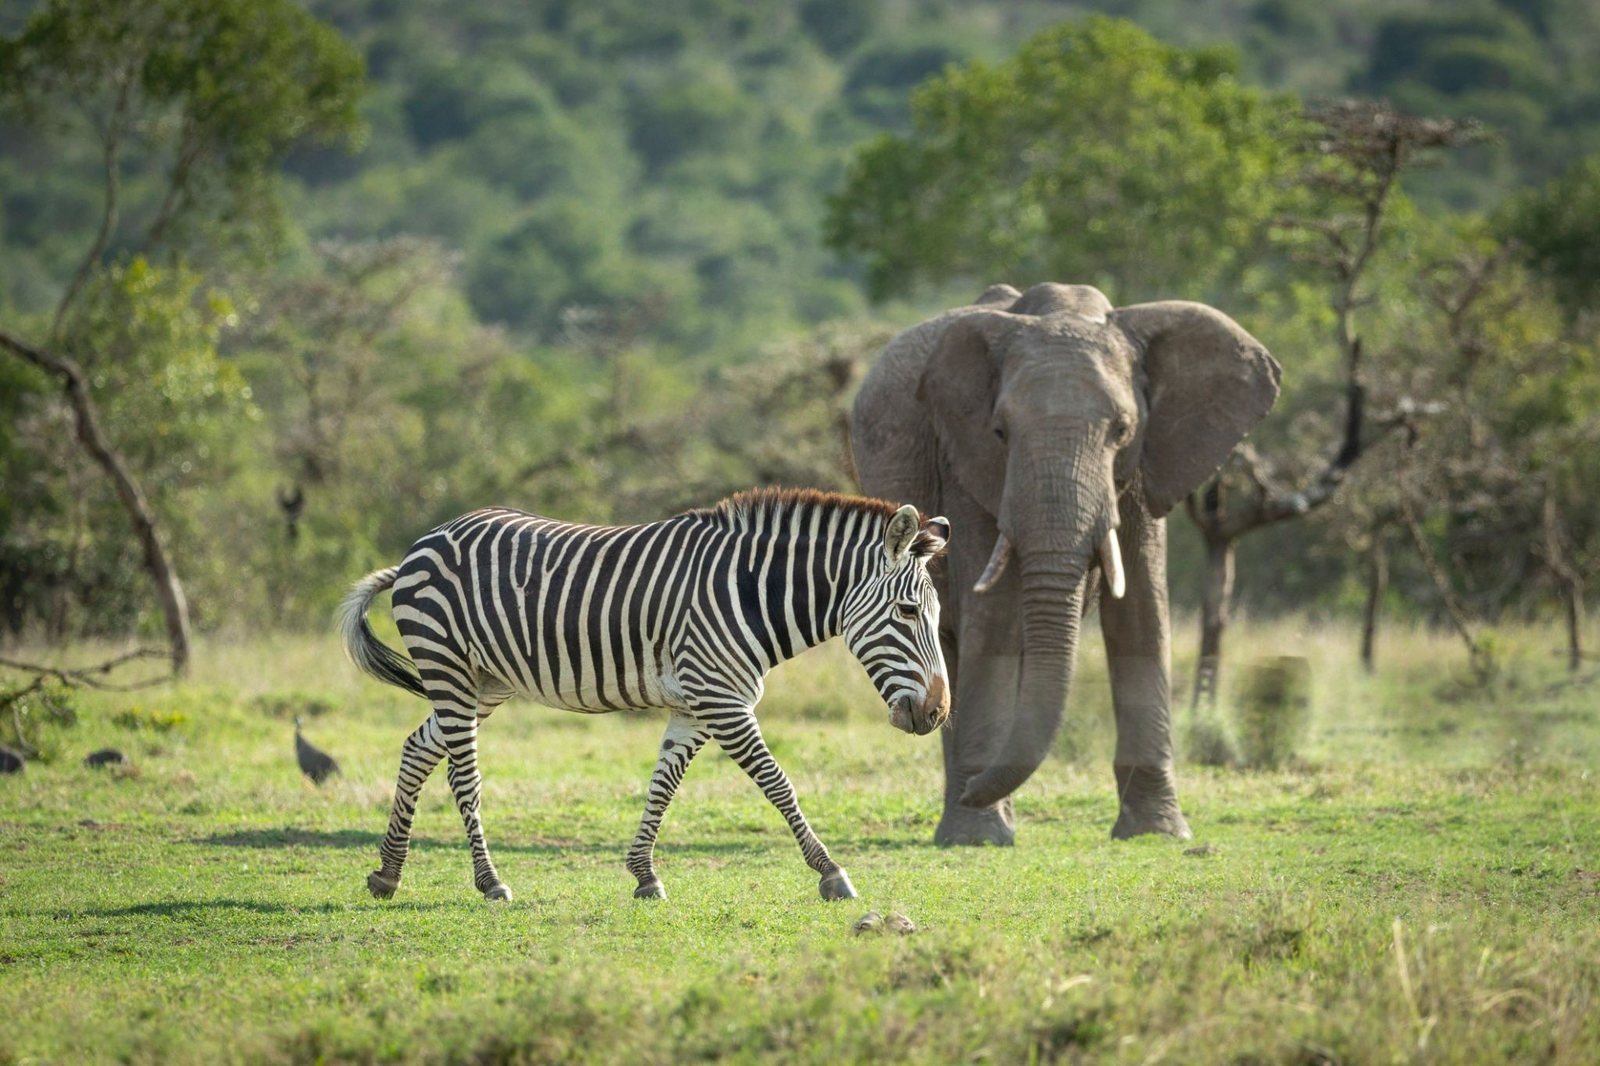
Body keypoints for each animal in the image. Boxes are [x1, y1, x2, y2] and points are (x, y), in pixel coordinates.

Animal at [339, 488, 952, 903]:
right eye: (908, 612)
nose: (938, 712)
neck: (752, 595)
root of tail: (424, 542)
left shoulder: (694, 707)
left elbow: (664, 786)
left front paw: (644, 873)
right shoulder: (722, 700)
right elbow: (779, 784)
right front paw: (831, 872)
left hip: (482, 682)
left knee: (418, 748)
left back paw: (388, 873)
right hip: (447, 665)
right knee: (462, 772)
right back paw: (489, 881)